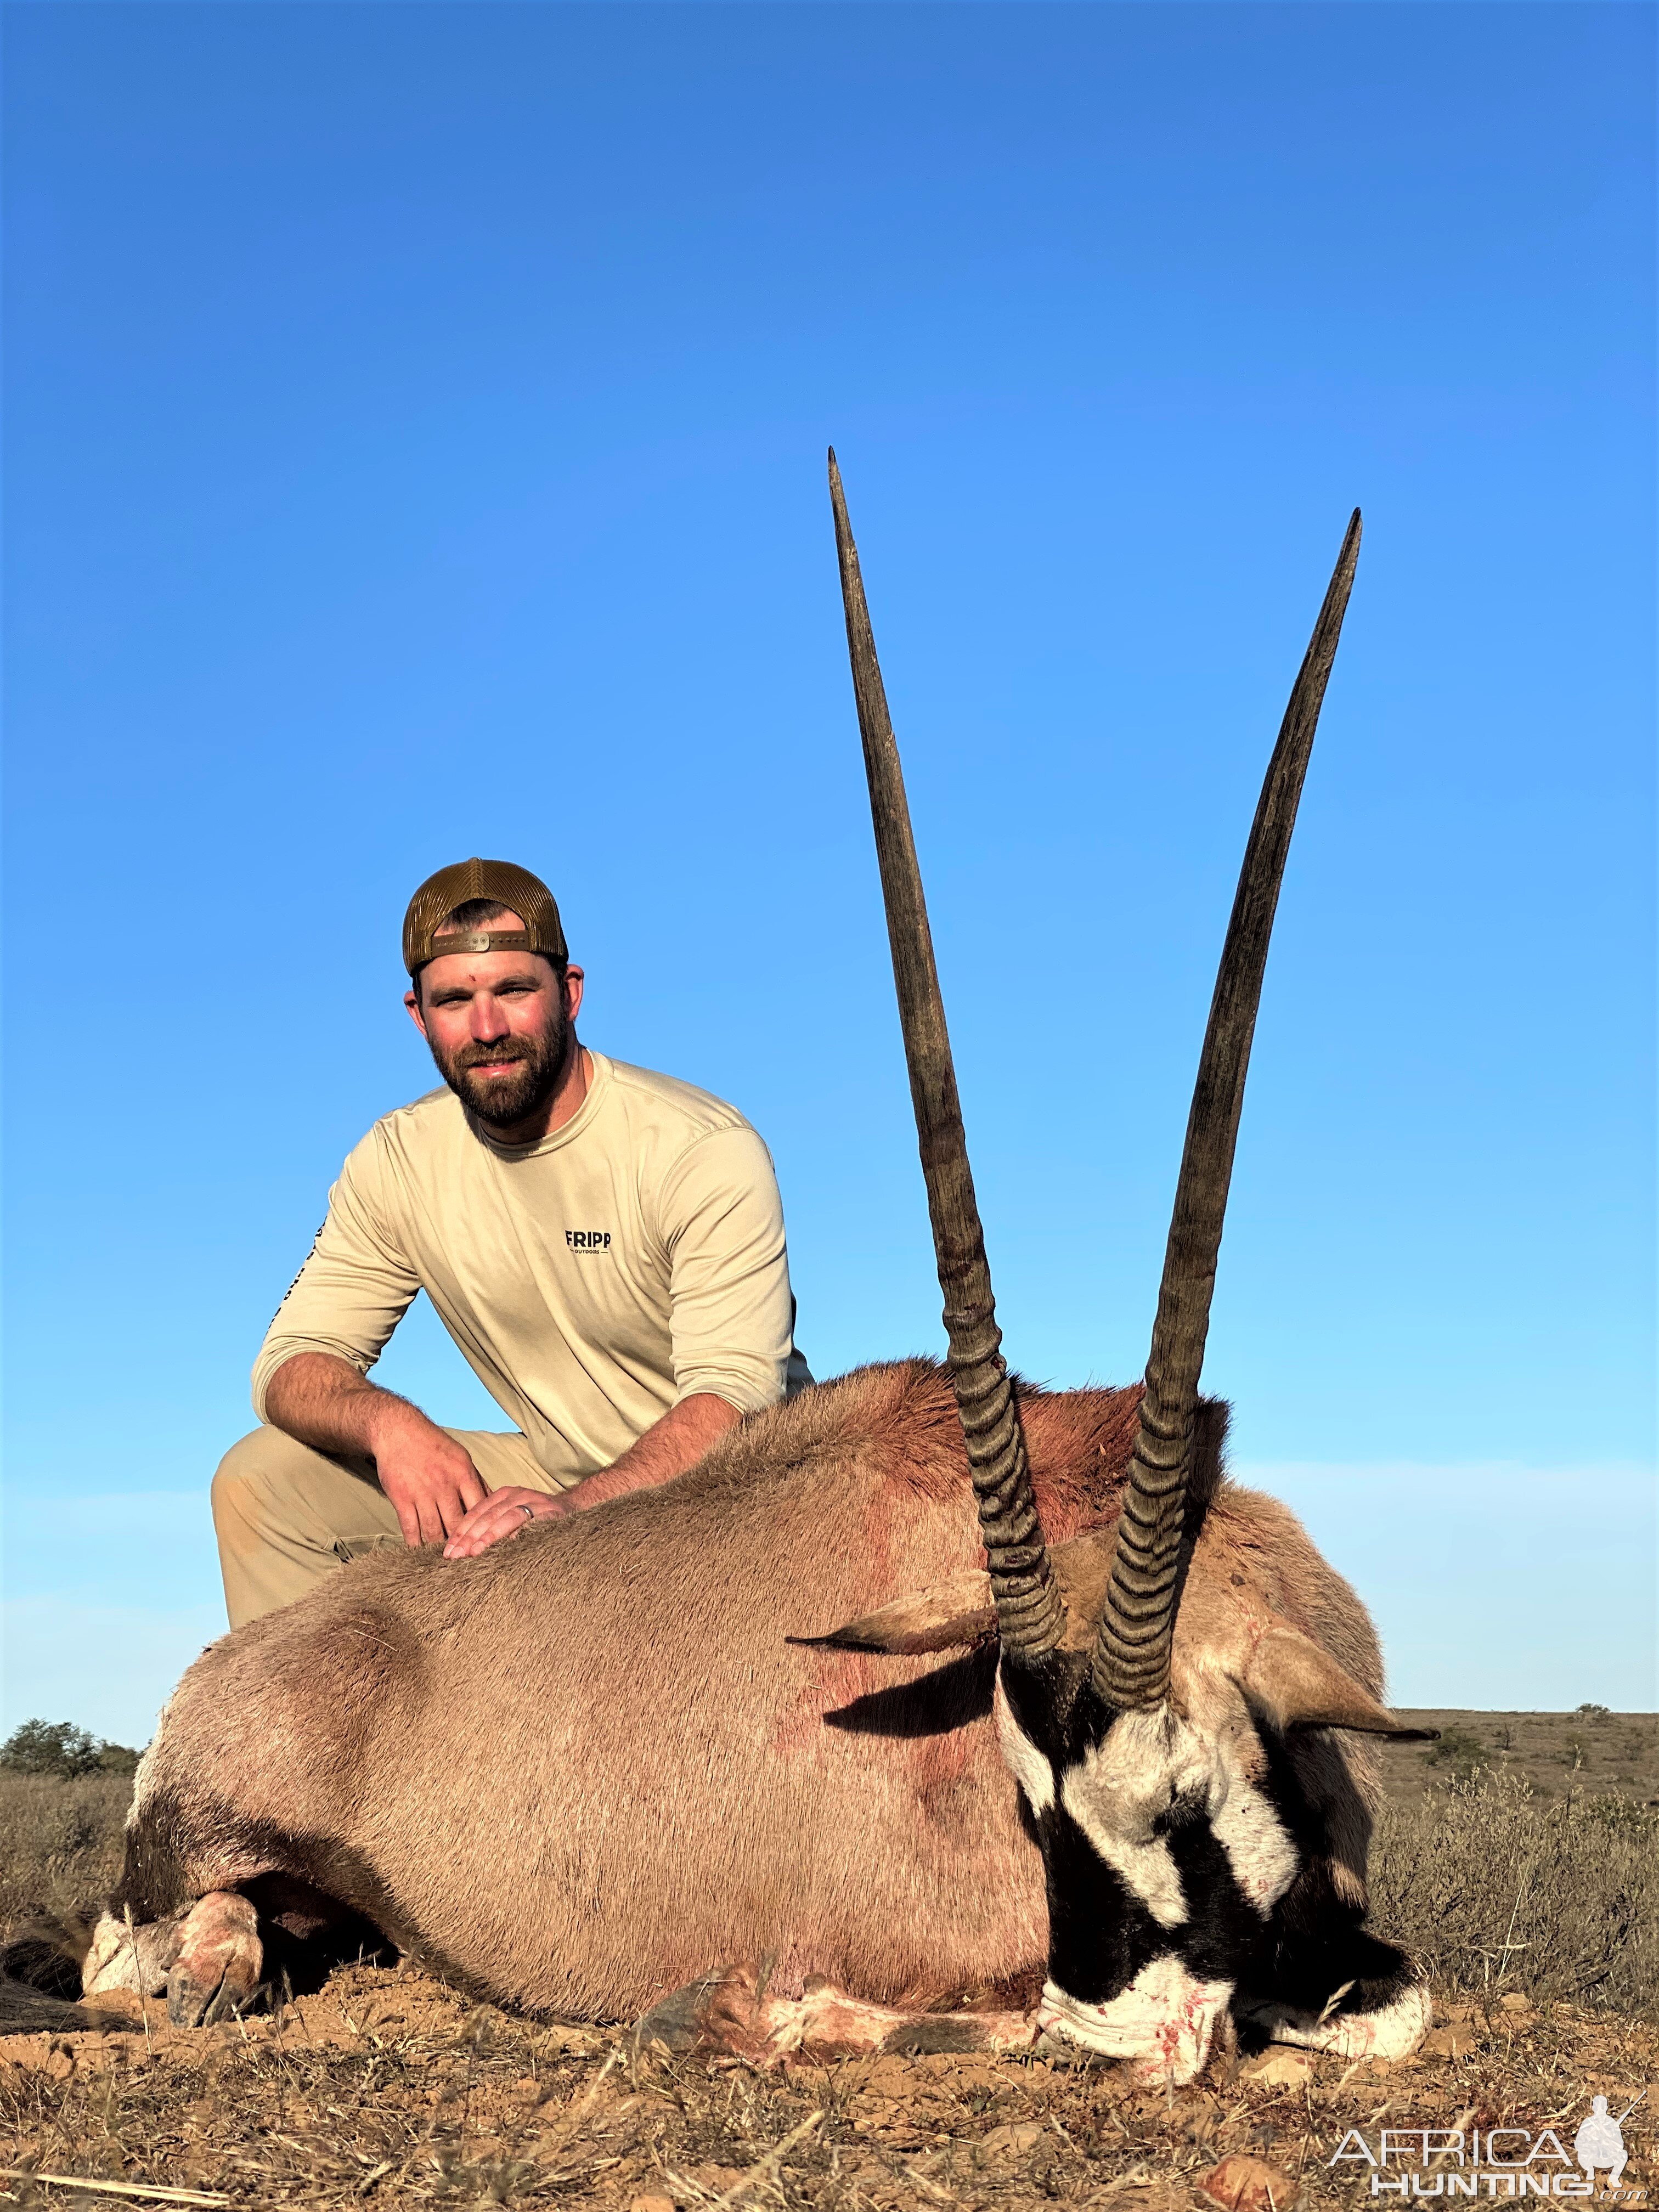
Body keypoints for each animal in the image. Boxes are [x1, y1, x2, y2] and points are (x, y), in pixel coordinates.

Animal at [42, 458, 1442, 2079]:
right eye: (1031, 1804)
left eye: (1187, 1795)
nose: (1112, 2029)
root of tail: (225, 1668)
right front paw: (773, 2014)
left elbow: (1387, 2011)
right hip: (193, 1849)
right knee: (152, 1947)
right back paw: (219, 1966)